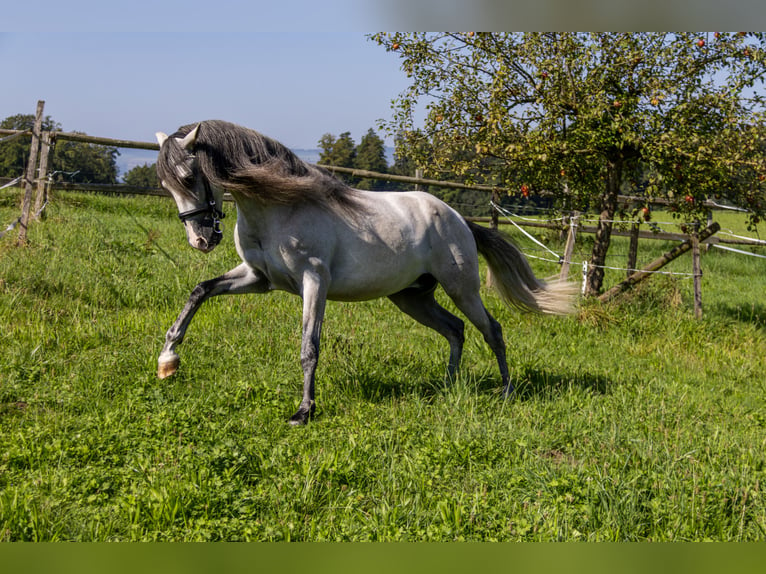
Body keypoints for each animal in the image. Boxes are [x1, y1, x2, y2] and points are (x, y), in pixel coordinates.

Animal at [156, 121, 576, 426]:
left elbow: (309, 347)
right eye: (166, 183)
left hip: (462, 289)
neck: (279, 207)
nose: (201, 239)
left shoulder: (314, 281)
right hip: (412, 297)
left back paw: (505, 390)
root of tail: (458, 219)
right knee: (455, 329)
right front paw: (167, 360)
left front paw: (303, 412)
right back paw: (448, 385)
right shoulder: (258, 279)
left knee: (492, 329)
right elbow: (200, 291)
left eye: (189, 176)